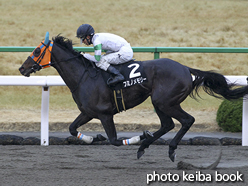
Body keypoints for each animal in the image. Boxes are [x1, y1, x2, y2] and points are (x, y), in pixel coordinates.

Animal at [18, 33, 248, 161]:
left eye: (37, 51)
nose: (22, 68)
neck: (83, 76)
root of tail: (185, 68)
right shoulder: (87, 112)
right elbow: (72, 129)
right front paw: (94, 137)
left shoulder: (105, 114)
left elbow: (114, 141)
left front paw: (135, 137)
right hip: (160, 102)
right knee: (168, 124)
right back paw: (144, 147)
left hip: (164, 101)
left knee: (186, 120)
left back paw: (168, 148)